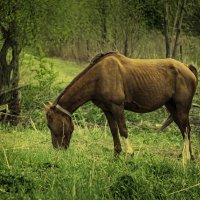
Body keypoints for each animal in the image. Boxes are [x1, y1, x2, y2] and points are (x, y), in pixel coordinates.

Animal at [45, 51, 197, 162]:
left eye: (52, 125)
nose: (57, 149)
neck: (99, 76)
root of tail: (186, 67)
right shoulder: (107, 109)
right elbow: (114, 130)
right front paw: (116, 153)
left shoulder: (117, 107)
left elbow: (123, 129)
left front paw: (130, 153)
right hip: (172, 107)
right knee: (184, 130)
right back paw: (189, 156)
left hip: (182, 108)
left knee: (186, 129)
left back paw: (186, 157)